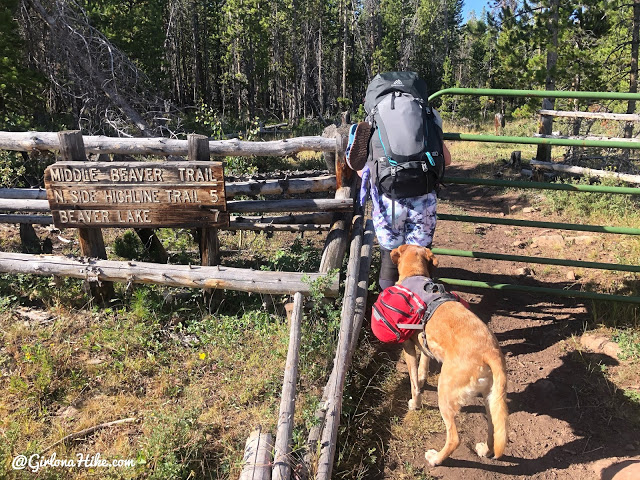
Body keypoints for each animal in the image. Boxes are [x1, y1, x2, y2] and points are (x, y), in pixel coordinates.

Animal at [388, 244, 508, 464]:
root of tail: (490, 352)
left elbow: (414, 384)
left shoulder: (408, 347)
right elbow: (423, 368)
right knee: (494, 430)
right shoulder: (425, 346)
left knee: (454, 438)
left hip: (445, 393)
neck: (415, 273)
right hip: (491, 399)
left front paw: (414, 404)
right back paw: (485, 450)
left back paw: (436, 458)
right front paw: (422, 377)